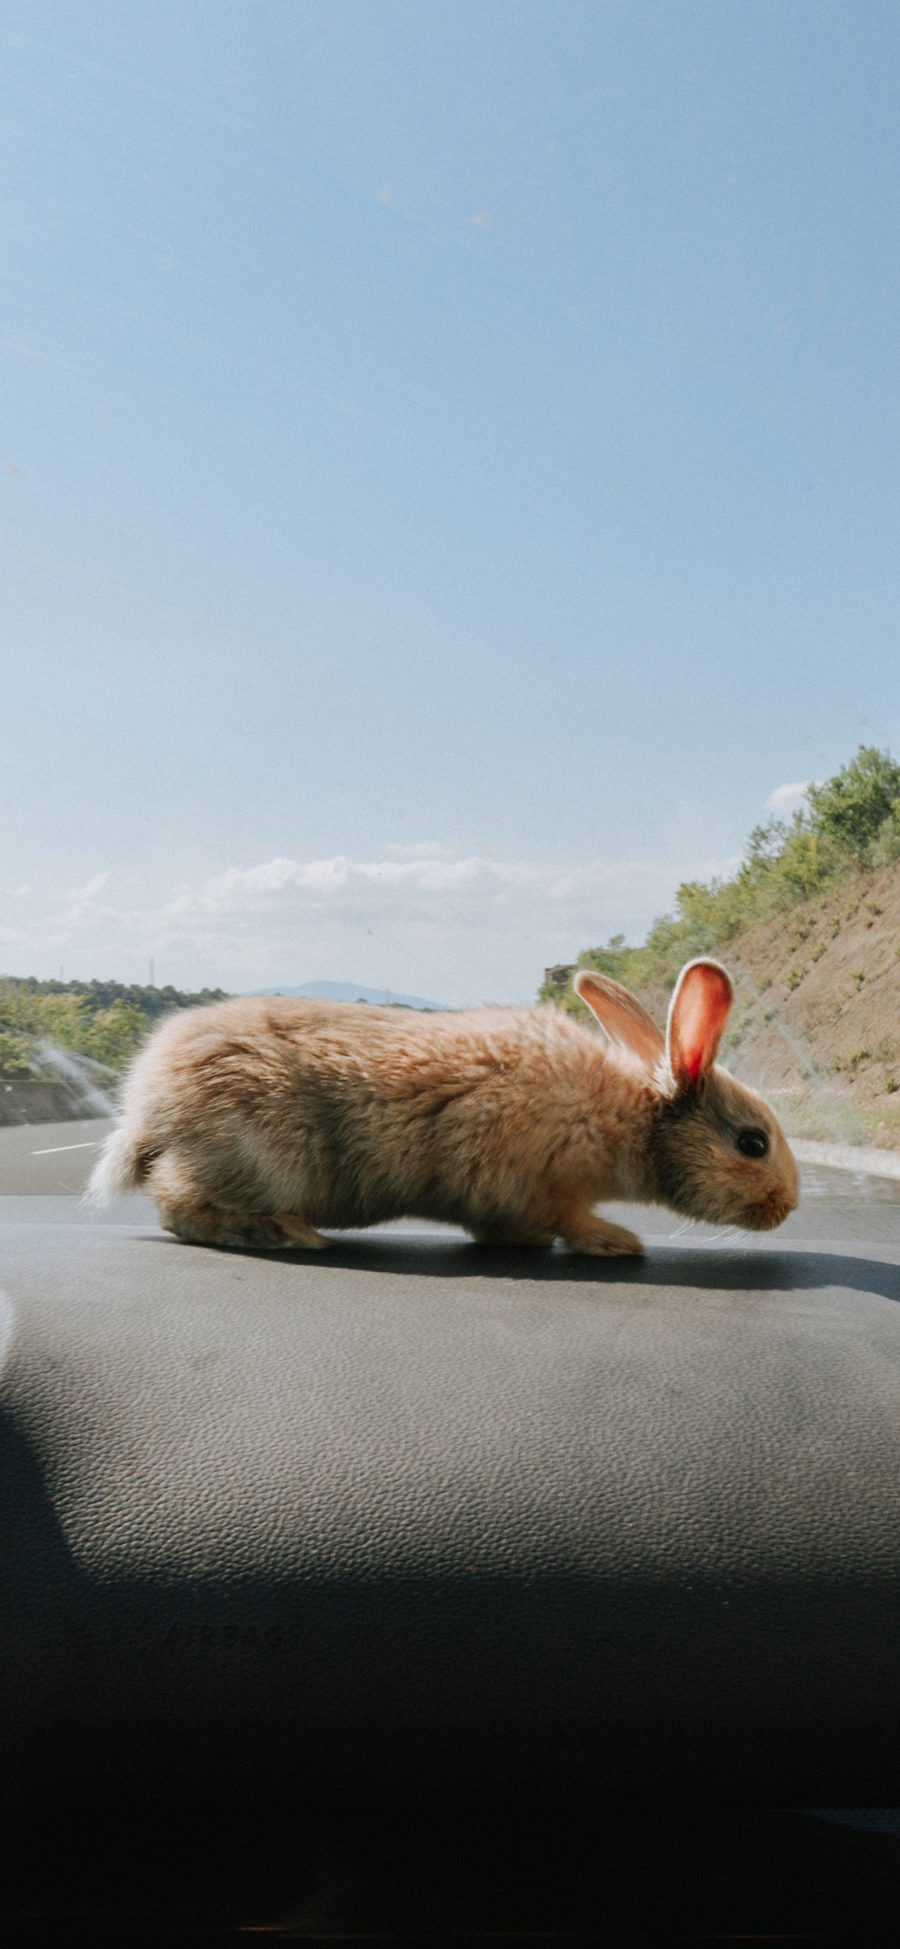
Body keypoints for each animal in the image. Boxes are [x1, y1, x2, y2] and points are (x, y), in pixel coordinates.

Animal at [87, 951, 798, 1255]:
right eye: (753, 1143)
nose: (788, 1208)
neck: (632, 1121)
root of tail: (149, 1110)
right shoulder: (540, 1188)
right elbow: (566, 1222)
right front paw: (619, 1243)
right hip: (256, 1156)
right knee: (176, 1206)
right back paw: (283, 1233)